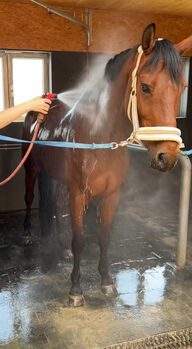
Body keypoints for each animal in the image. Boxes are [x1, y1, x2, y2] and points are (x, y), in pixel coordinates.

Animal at [22, 23, 192, 304]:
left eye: (182, 87)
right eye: (145, 87)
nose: (167, 156)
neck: (98, 137)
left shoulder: (111, 194)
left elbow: (104, 237)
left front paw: (106, 281)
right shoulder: (78, 194)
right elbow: (80, 240)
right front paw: (76, 289)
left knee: (57, 206)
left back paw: (61, 247)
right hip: (31, 169)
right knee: (29, 199)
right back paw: (27, 235)